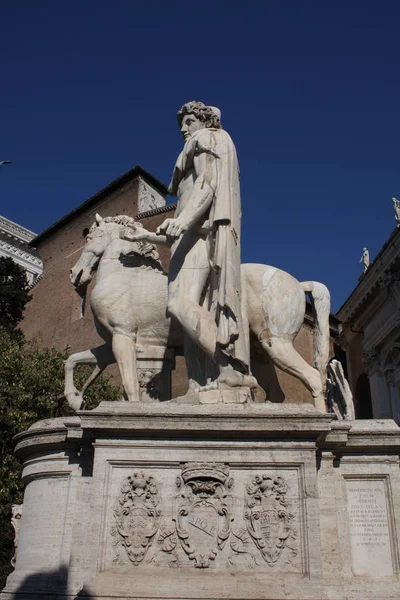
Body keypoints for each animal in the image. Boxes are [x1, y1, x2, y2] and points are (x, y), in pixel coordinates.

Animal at [65, 214, 332, 412]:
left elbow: (131, 385)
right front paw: (75, 399)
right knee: (276, 391)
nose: (74, 273)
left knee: (313, 378)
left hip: (276, 343)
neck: (125, 274)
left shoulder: (123, 336)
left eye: (90, 237)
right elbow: (73, 360)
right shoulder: (114, 343)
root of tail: (298, 284)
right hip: (260, 353)